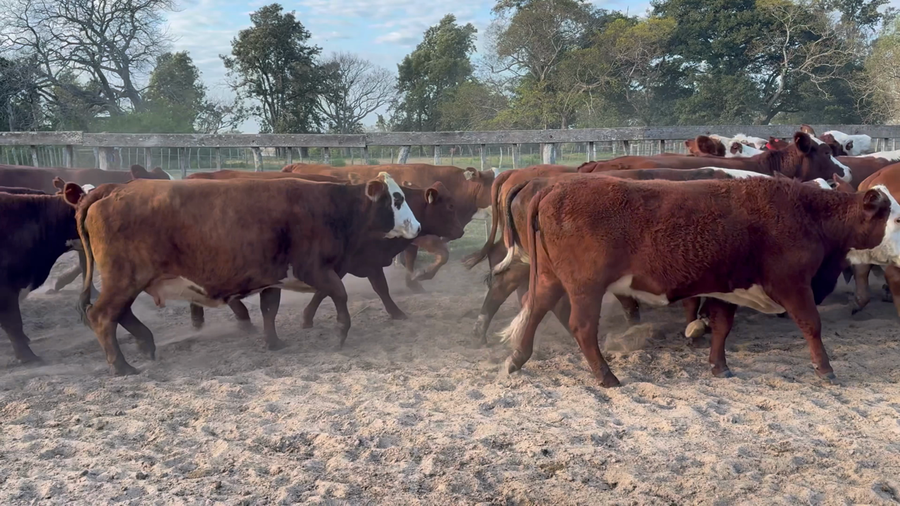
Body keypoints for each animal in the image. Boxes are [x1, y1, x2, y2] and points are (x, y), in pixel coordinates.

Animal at [65, 174, 421, 375]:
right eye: (397, 199)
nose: (417, 226)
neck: (332, 208)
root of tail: (112, 190)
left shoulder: (273, 276)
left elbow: (269, 309)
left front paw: (274, 342)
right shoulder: (316, 269)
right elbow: (340, 295)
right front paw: (340, 333)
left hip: (128, 281)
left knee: (121, 314)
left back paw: (145, 344)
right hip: (124, 279)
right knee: (102, 316)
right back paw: (122, 366)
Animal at [281, 163, 496, 292]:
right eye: (496, 185)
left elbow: (410, 258)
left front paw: (412, 283)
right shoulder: (422, 234)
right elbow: (443, 254)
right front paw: (422, 275)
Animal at [498, 176, 900, 387]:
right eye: (895, 218)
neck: (806, 214)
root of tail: (554, 186)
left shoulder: (727, 288)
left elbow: (721, 326)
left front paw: (718, 366)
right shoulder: (793, 284)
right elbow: (811, 325)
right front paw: (825, 369)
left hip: (549, 278)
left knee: (535, 310)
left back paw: (517, 358)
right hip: (586, 287)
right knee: (581, 327)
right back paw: (606, 376)